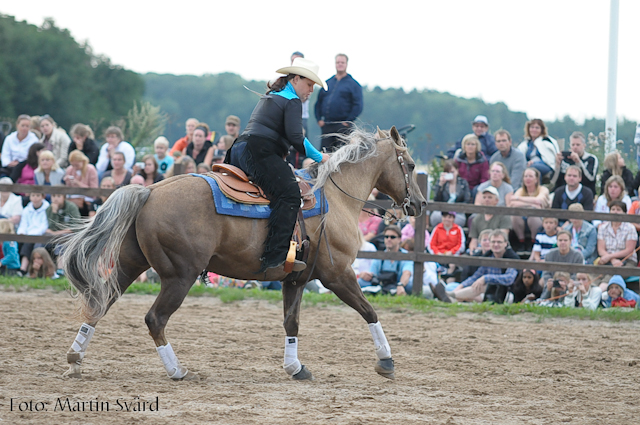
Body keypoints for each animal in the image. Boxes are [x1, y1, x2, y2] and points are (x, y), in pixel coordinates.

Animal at [62, 126, 428, 380]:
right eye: (410, 165)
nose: (421, 204)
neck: (336, 199)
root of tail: (149, 190)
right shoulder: (337, 275)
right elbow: (369, 311)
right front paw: (386, 361)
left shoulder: (296, 279)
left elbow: (291, 322)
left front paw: (295, 367)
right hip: (179, 276)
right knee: (155, 319)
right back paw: (177, 371)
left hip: (130, 264)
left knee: (99, 303)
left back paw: (75, 360)